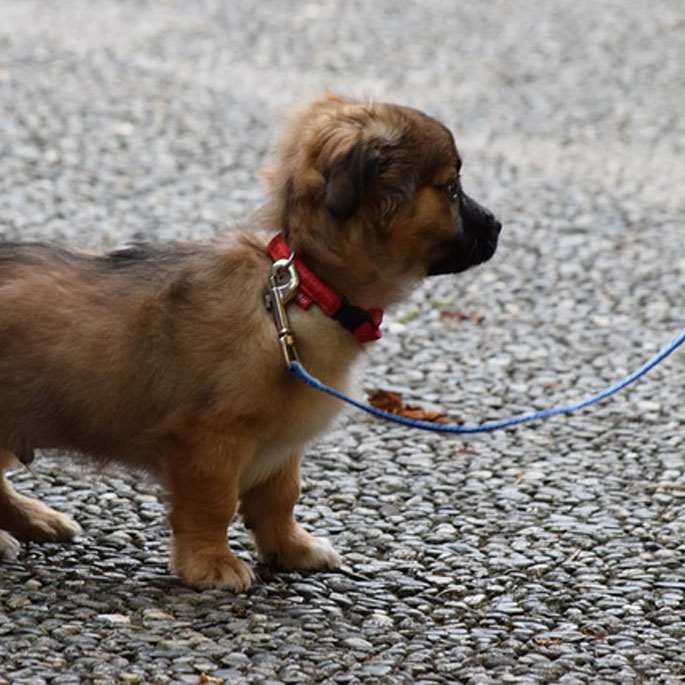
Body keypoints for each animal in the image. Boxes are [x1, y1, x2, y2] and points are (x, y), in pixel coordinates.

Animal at [1, 96, 502, 588]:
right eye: (451, 189)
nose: (498, 224)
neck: (306, 291)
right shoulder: (208, 441)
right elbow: (214, 503)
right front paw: (211, 563)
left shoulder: (282, 445)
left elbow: (280, 497)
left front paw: (291, 548)